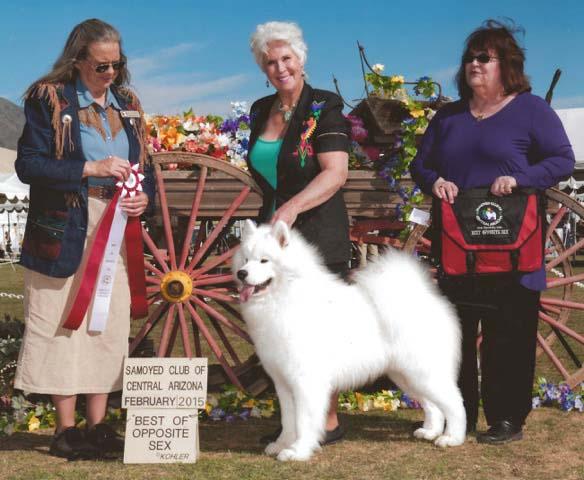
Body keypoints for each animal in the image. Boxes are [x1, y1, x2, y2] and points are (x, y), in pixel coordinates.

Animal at [233, 221, 466, 462]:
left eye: (264, 260)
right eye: (245, 259)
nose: (242, 273)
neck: (284, 297)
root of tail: (427, 297)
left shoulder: (305, 381)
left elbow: (303, 420)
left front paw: (298, 450)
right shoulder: (282, 382)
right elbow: (288, 420)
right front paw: (282, 444)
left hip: (423, 372)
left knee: (455, 403)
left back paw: (451, 438)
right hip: (406, 375)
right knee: (432, 405)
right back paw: (429, 431)